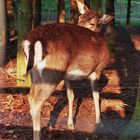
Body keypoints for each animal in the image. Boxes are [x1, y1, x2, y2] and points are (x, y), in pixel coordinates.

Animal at [21, 1, 113, 140]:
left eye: (92, 23)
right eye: (80, 19)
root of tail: (32, 40)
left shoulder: (67, 75)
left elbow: (71, 96)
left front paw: (70, 124)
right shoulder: (97, 69)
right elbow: (96, 95)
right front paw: (99, 123)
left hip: (35, 73)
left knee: (30, 96)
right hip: (52, 72)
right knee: (36, 101)